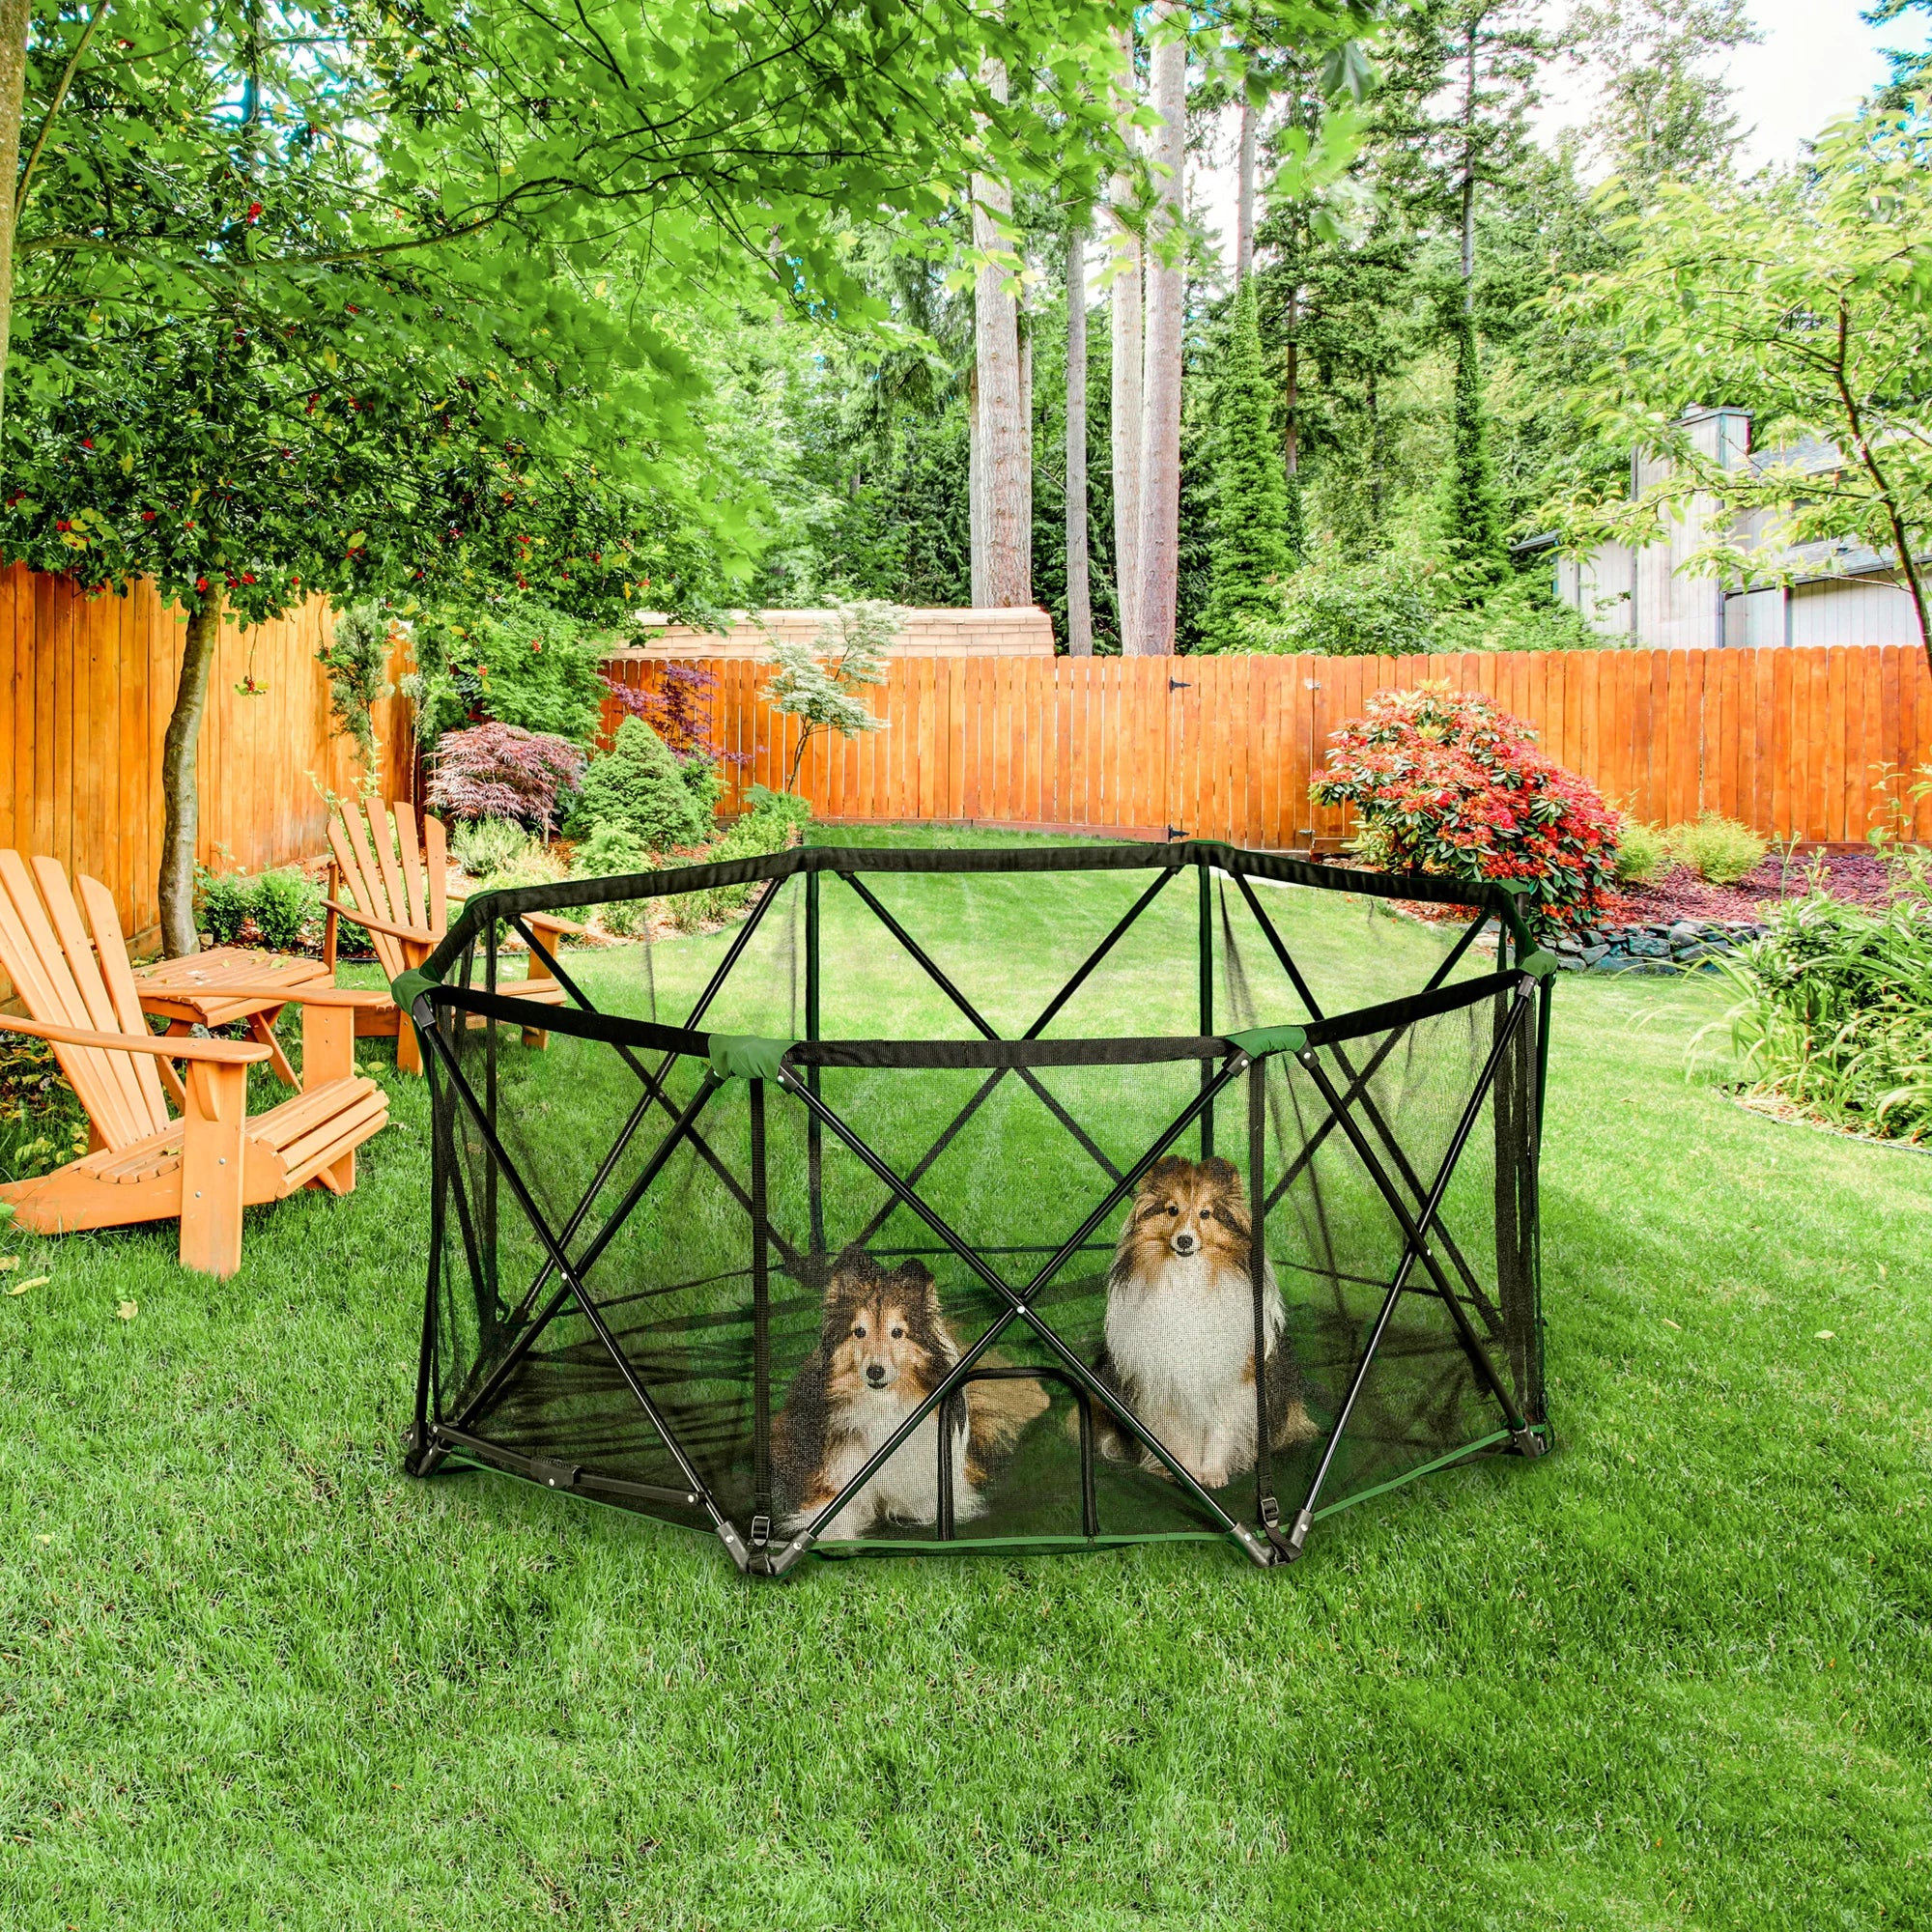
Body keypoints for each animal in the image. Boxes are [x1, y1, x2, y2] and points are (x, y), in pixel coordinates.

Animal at [769, 1252, 1051, 1538]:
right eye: (859, 1331)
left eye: (897, 1332)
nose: (875, 1371)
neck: (883, 1406)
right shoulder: (828, 1486)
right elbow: (834, 1522)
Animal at [1090, 1151, 1314, 1484]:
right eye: (1172, 1210)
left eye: (1206, 1214)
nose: (1184, 1241)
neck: (1188, 1277)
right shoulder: (1164, 1380)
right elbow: (1178, 1434)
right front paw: (1184, 1470)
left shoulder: (1233, 1378)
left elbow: (1221, 1430)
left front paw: (1213, 1473)